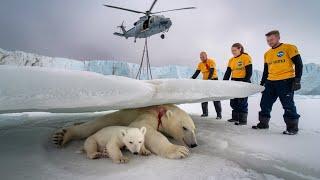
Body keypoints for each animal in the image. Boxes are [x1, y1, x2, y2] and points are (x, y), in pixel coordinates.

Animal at [52, 104, 196, 159]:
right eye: (184, 127)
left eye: (194, 129)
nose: (194, 144)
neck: (160, 109)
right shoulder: (148, 114)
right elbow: (145, 129)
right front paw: (179, 150)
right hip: (115, 117)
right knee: (92, 126)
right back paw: (62, 136)